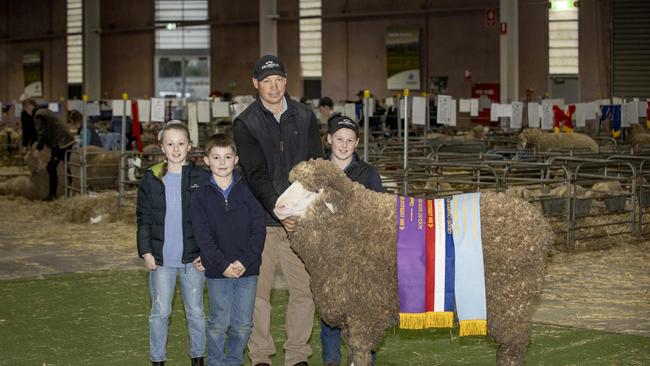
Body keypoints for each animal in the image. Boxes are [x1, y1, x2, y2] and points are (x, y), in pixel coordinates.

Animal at [274, 160, 552, 366]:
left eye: (313, 191)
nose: (278, 205)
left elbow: (360, 352)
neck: (350, 222)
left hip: (511, 301)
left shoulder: (364, 309)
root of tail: (539, 224)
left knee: (513, 348)